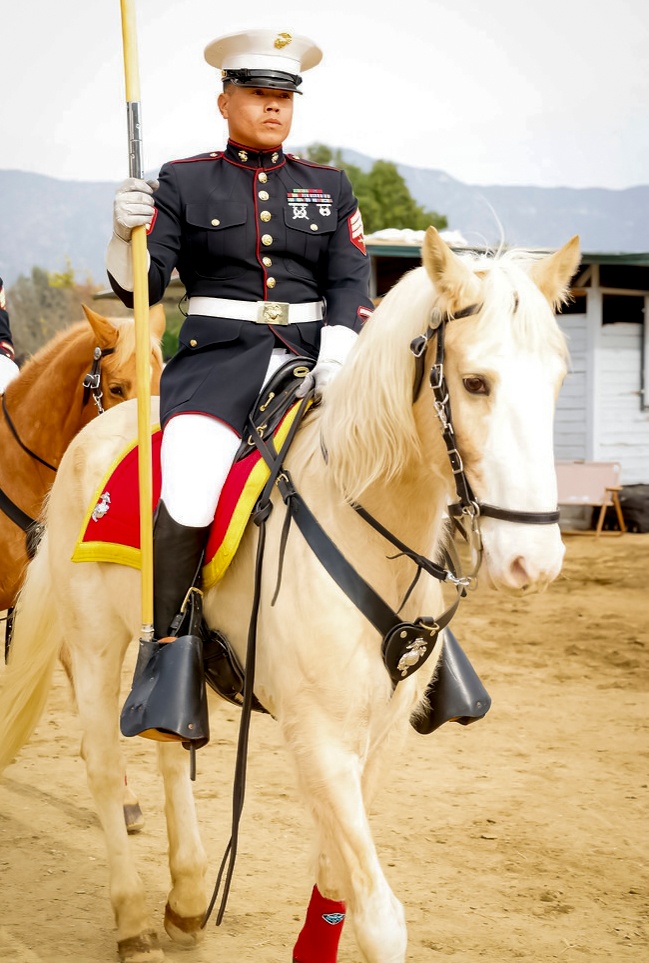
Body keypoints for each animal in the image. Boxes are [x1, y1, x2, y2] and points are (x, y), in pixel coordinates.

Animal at [0, 232, 576, 963]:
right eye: (475, 382)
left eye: (556, 380)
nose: (535, 560)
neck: (357, 520)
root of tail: (87, 441)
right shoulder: (320, 735)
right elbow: (380, 915)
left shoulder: (380, 737)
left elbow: (338, 874)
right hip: (95, 640)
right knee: (102, 762)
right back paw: (132, 917)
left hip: (166, 654)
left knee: (167, 747)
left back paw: (187, 895)